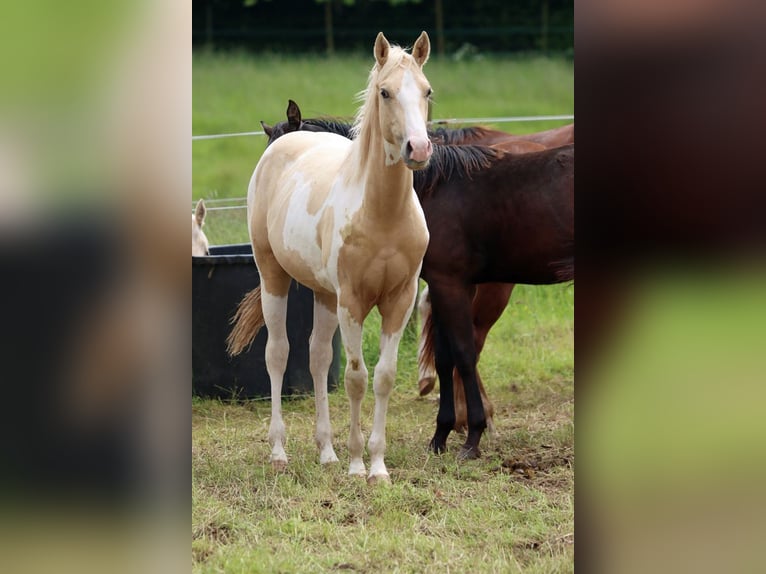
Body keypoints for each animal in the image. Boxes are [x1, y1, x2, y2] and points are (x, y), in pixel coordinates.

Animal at [225, 32, 436, 486]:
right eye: (385, 92)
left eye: (427, 91)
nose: (419, 148)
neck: (382, 214)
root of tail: (283, 141)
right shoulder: (352, 301)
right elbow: (356, 378)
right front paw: (358, 464)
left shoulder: (399, 300)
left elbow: (383, 376)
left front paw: (377, 466)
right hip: (273, 277)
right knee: (278, 353)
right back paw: (279, 451)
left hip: (324, 294)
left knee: (318, 357)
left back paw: (326, 452)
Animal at [260, 100, 576, 460]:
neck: (434, 187)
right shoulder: (448, 286)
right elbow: (445, 356)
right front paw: (441, 435)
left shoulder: (449, 284)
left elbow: (463, 353)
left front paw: (472, 437)